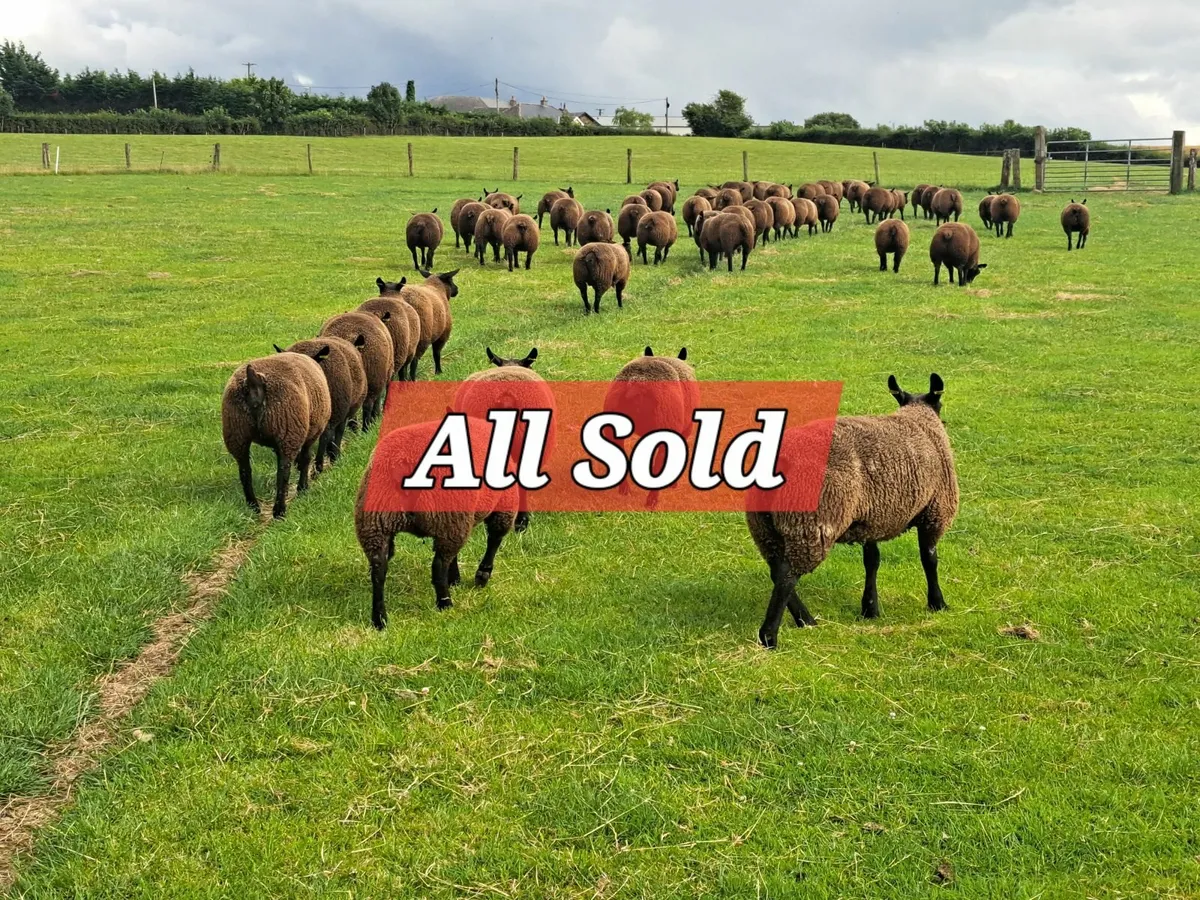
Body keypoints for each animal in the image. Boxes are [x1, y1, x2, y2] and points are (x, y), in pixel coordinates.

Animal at [222, 352, 332, 519]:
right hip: (288, 430)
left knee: (245, 471)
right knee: (283, 471)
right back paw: (279, 510)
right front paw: (303, 488)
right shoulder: (311, 432)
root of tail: (254, 379)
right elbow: (306, 459)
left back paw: (253, 507)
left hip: (236, 432)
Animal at [355, 415, 518, 628]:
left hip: (375, 522)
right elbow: (495, 540)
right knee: (438, 565)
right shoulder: (505, 503)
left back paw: (380, 619)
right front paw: (482, 575)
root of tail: (402, 462)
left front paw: (456, 579)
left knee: (378, 569)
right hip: (447, 516)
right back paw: (445, 603)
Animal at [745, 373, 958, 647]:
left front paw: (870, 608)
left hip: (765, 527)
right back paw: (770, 635)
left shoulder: (873, 517)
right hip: (810, 523)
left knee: (776, 569)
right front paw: (937, 603)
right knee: (785, 576)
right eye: (940, 404)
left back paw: (806, 621)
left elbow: (872, 560)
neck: (921, 419)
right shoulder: (935, 510)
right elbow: (929, 559)